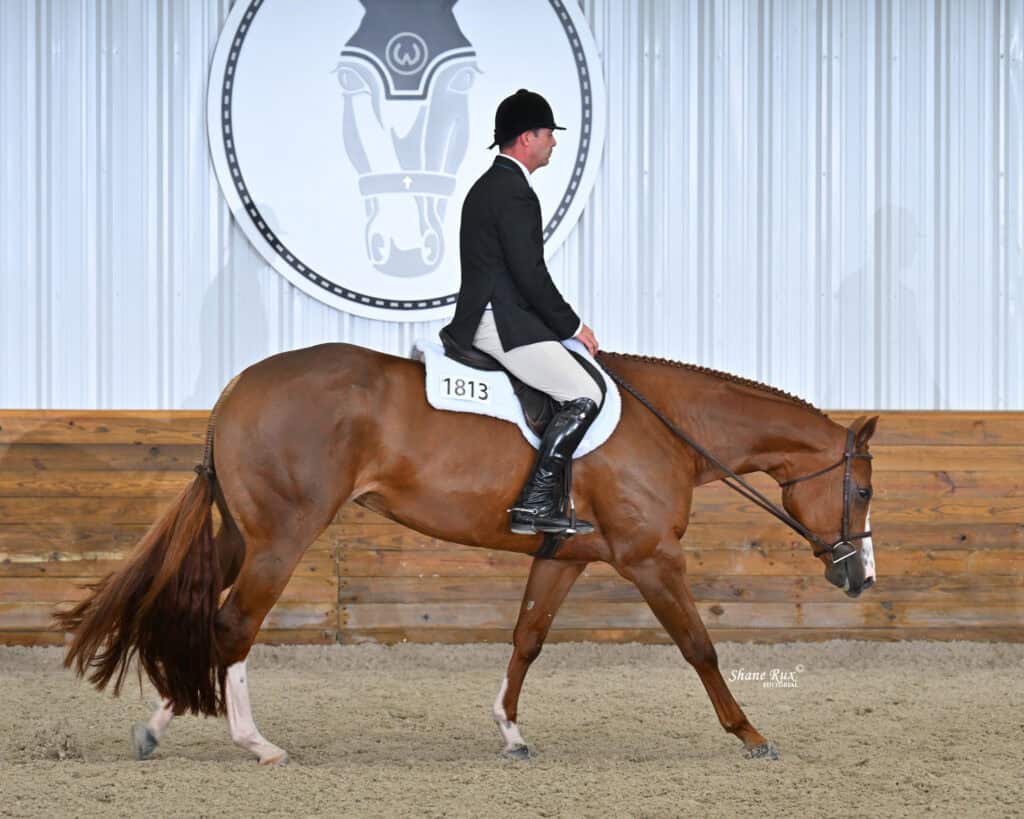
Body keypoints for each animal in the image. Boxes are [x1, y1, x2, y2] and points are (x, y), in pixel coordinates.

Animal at [56, 342, 878, 765]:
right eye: (864, 491)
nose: (861, 578)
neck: (670, 425)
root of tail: (235, 388)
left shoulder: (566, 556)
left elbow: (528, 637)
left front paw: (510, 731)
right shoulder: (651, 558)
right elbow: (699, 645)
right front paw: (750, 734)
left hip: (243, 535)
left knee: (202, 621)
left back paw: (158, 725)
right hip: (282, 538)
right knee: (233, 625)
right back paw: (257, 745)